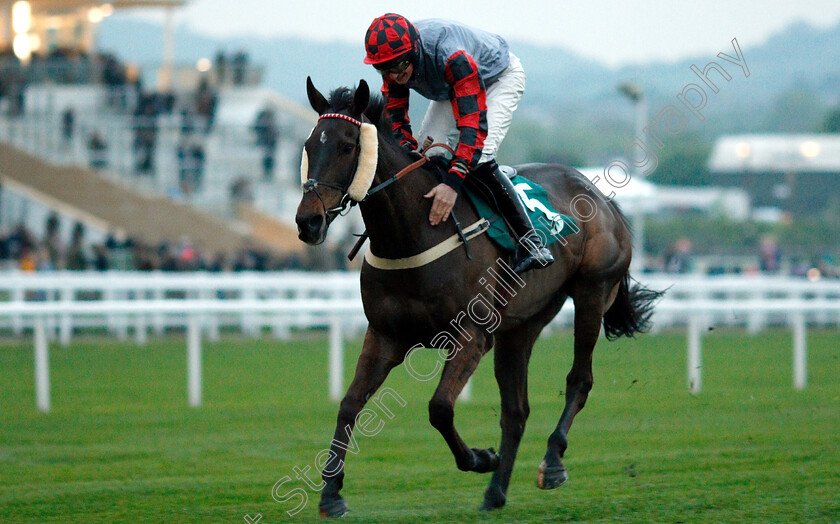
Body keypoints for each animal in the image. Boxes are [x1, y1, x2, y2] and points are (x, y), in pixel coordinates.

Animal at [296, 78, 664, 516]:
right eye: (308, 145)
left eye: (348, 145)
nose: (308, 221)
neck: (415, 231)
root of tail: (602, 197)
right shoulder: (385, 335)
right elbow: (349, 404)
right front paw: (331, 493)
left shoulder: (470, 335)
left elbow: (439, 408)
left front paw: (479, 457)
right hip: (521, 325)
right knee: (516, 410)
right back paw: (496, 491)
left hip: (593, 291)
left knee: (580, 380)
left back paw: (552, 462)